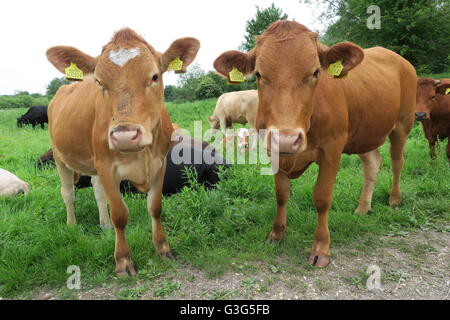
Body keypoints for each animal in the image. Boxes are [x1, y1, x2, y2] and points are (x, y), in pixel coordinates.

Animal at [46, 28, 200, 276]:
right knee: (67, 192)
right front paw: (123, 260)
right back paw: (72, 225)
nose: (125, 136)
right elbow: (120, 214)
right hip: (60, 157)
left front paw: (163, 248)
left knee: (97, 190)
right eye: (99, 82)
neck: (141, 154)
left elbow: (155, 207)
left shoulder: (159, 164)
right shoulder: (107, 167)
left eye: (154, 76)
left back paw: (104, 224)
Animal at [213, 20, 416, 268]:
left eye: (315, 72)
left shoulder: (332, 149)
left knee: (397, 162)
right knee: (372, 164)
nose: (287, 137)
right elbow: (281, 193)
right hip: (365, 132)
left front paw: (321, 247)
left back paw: (394, 199)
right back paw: (363, 207)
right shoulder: (273, 149)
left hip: (402, 125)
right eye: (259, 74)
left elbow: (321, 197)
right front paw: (276, 233)